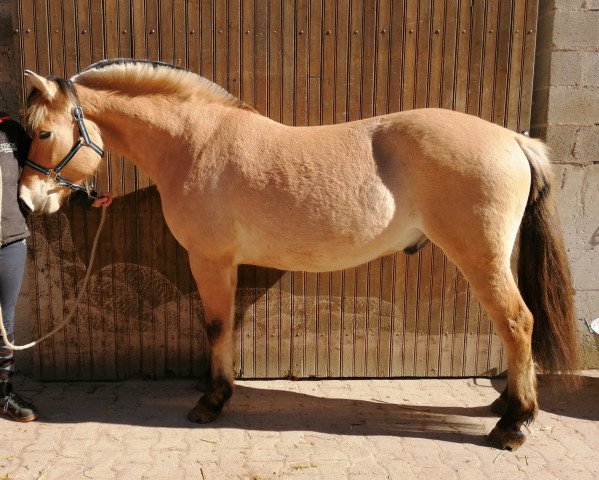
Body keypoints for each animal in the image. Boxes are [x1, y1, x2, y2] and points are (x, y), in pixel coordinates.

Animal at [19, 58, 580, 452]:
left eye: (43, 132)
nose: (26, 202)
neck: (195, 143)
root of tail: (512, 138)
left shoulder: (211, 259)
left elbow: (216, 325)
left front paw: (212, 400)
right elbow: (226, 326)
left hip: (480, 257)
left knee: (517, 322)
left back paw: (513, 424)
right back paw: (506, 404)